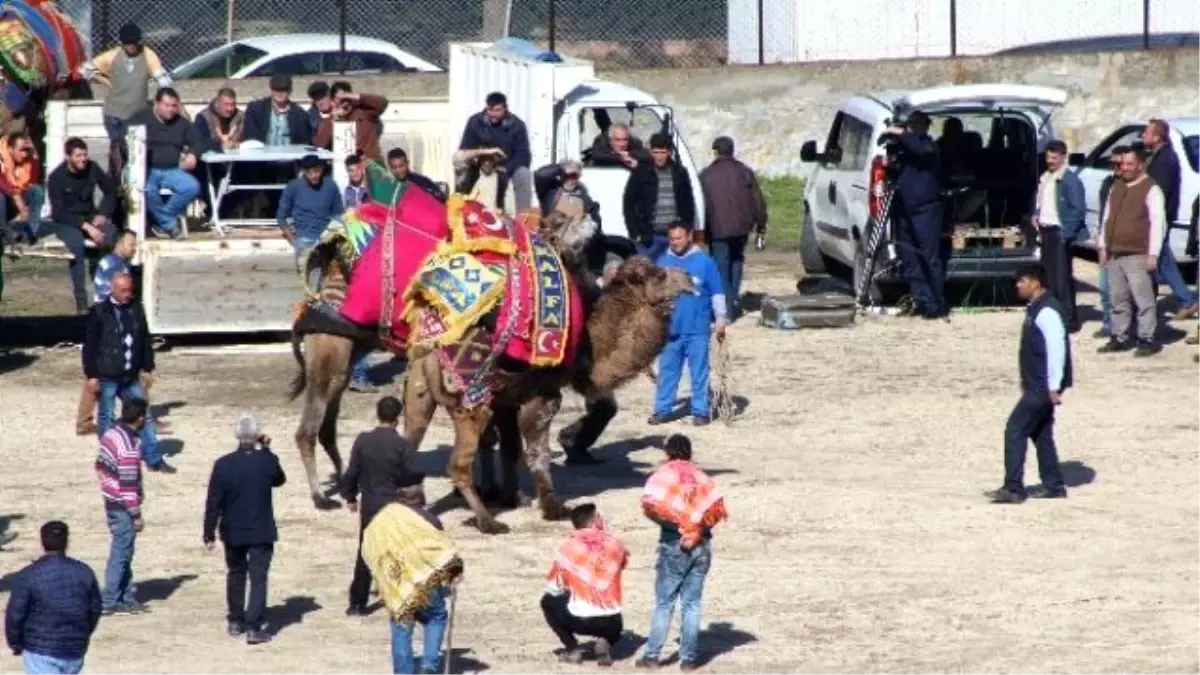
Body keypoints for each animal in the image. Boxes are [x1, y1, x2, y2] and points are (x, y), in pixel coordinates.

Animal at [284, 187, 691, 530]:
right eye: (657, 275)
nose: (688, 279)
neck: (590, 343)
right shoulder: (540, 395)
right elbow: (534, 451)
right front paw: (551, 505)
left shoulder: (507, 395)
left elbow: (506, 446)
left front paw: (509, 494)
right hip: (340, 358)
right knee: (313, 429)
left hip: (391, 373)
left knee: (369, 432)